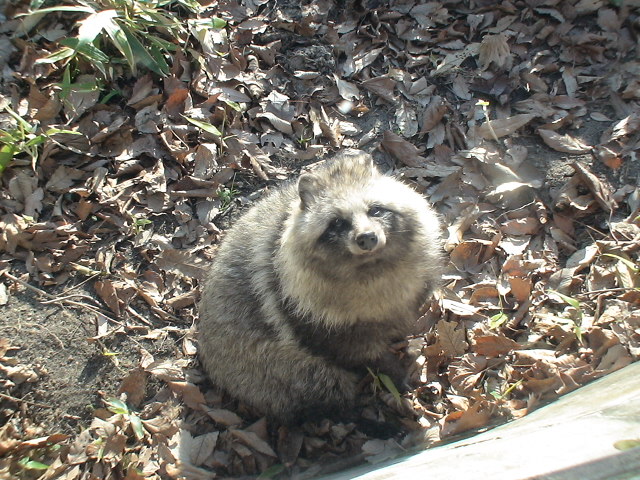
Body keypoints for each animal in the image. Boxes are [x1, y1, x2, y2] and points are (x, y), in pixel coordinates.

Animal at [198, 152, 442, 422]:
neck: (371, 268)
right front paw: (393, 370)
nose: (367, 238)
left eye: (375, 210)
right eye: (337, 223)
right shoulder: (306, 316)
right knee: (319, 381)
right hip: (267, 367)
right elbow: (361, 354)